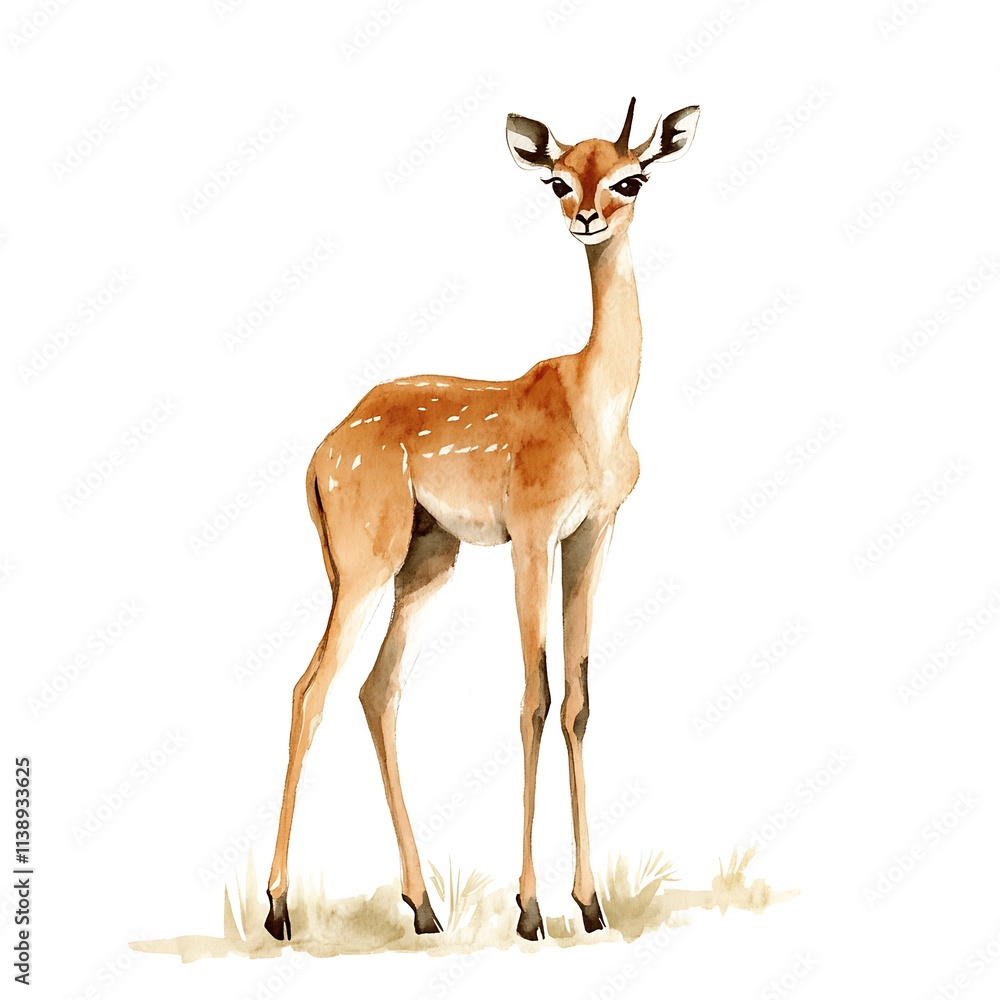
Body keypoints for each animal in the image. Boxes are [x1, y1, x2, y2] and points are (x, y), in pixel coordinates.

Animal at [264, 98, 700, 943]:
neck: (593, 409)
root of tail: (320, 456)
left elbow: (579, 700)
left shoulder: (593, 533)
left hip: (426, 562)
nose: (587, 216)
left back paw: (425, 906)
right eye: (558, 179)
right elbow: (534, 696)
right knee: (310, 688)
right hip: (365, 562)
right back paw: (277, 909)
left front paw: (590, 905)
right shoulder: (530, 531)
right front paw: (531, 910)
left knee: (377, 689)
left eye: (633, 176)